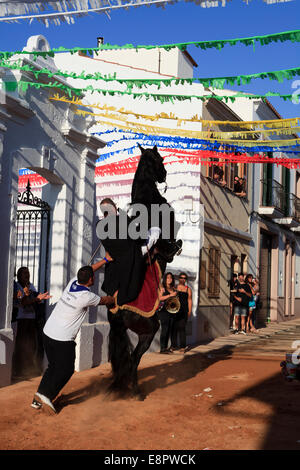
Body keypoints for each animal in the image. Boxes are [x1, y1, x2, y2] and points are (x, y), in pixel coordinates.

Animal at [106, 145, 182, 398]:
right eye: (160, 159)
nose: (165, 175)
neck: (147, 198)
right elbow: (170, 245)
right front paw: (175, 247)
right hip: (149, 330)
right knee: (133, 359)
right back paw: (136, 391)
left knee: (124, 360)